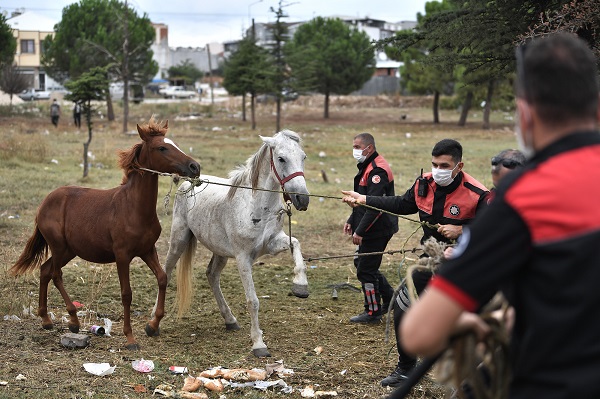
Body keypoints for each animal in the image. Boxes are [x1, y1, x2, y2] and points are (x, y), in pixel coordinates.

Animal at [9, 118, 202, 350]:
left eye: (175, 144)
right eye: (162, 148)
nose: (195, 167)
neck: (133, 207)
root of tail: (44, 203)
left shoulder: (148, 250)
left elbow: (163, 278)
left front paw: (152, 325)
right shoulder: (122, 255)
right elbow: (126, 293)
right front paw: (130, 338)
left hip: (69, 251)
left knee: (45, 270)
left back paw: (46, 319)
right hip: (59, 247)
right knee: (55, 274)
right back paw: (73, 321)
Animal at [155, 130, 312, 358]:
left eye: (303, 157)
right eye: (281, 158)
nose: (302, 199)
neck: (255, 207)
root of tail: (186, 184)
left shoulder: (272, 244)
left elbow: (296, 244)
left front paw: (301, 285)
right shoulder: (243, 258)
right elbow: (252, 301)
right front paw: (258, 344)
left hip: (220, 252)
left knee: (212, 275)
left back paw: (230, 320)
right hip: (179, 240)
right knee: (165, 273)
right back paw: (153, 324)